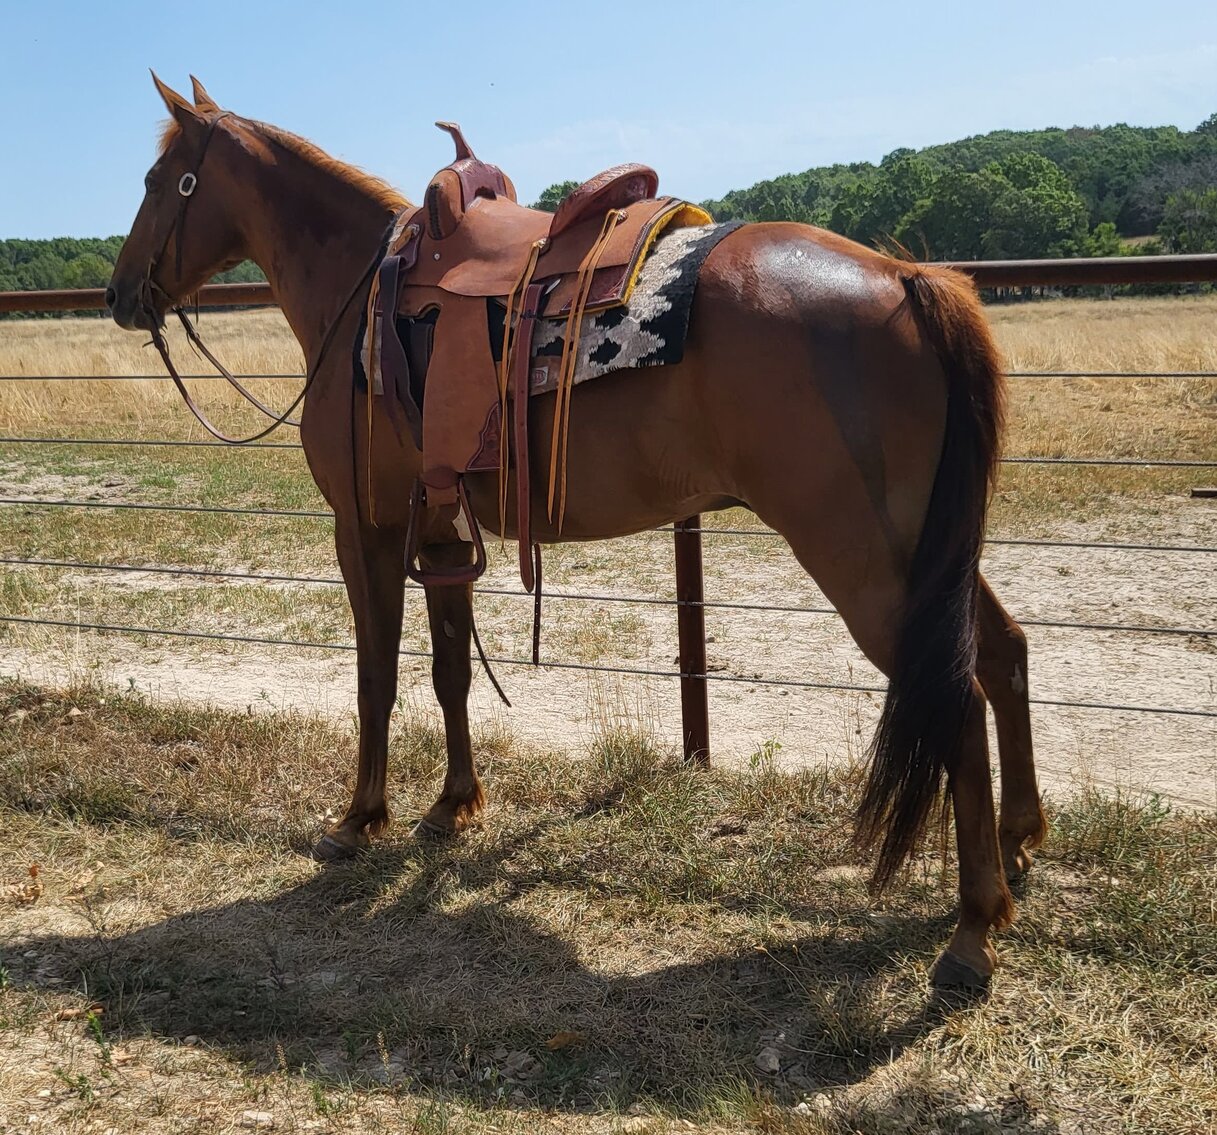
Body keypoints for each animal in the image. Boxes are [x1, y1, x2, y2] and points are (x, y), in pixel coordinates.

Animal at [106, 74, 1046, 988]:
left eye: (157, 181)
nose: (118, 295)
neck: (357, 297)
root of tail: (905, 277)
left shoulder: (364, 528)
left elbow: (375, 677)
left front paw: (358, 818)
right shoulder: (439, 533)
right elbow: (450, 674)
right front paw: (451, 806)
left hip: (861, 555)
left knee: (954, 697)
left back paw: (970, 931)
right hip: (927, 549)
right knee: (1001, 651)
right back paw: (1018, 842)